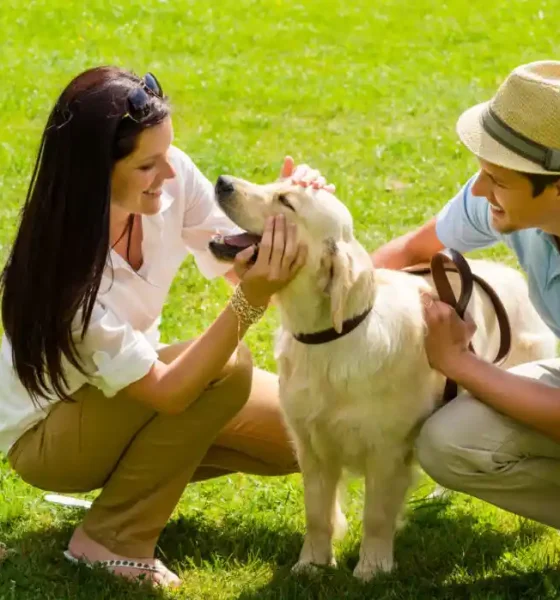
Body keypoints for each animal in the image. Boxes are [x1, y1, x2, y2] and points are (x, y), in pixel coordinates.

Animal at [209, 173, 556, 580]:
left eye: (286, 201)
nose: (223, 181)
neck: (332, 338)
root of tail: (511, 274)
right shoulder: (311, 445)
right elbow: (317, 514)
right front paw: (311, 563)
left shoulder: (387, 450)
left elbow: (375, 515)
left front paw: (372, 568)